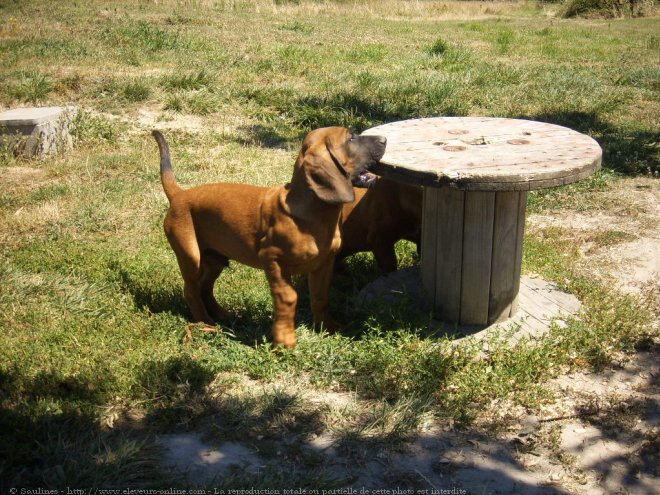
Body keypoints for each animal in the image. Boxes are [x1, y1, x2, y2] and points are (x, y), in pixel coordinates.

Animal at [153, 127, 386, 348]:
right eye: (351, 138)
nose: (384, 139)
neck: (314, 215)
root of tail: (179, 194)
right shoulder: (273, 260)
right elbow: (289, 297)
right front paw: (284, 341)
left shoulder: (324, 263)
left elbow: (321, 297)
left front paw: (326, 327)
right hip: (190, 254)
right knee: (191, 289)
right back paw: (206, 323)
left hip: (215, 258)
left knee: (204, 286)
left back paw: (221, 315)